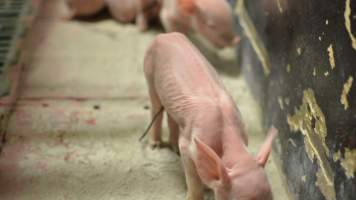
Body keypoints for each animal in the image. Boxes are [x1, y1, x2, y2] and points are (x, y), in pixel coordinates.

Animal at [144, 32, 276, 199]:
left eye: (272, 198)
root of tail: (164, 35)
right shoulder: (189, 144)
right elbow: (192, 176)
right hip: (149, 70)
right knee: (155, 105)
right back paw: (155, 145)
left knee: (171, 116)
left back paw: (173, 148)